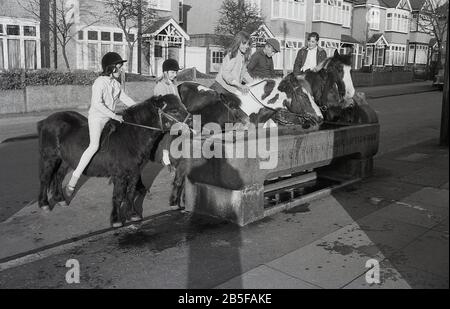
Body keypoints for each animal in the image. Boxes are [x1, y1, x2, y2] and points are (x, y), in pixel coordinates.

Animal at [37, 94, 191, 226]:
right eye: (174, 110)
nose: (190, 123)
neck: (131, 136)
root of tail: (46, 121)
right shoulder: (120, 174)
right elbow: (118, 195)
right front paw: (116, 219)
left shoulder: (134, 173)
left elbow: (130, 193)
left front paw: (132, 214)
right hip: (50, 157)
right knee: (45, 178)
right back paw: (44, 204)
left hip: (65, 160)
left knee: (58, 176)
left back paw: (60, 199)